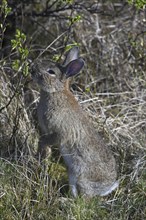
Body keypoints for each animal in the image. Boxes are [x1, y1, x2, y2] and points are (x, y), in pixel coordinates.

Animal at [31, 46, 118, 198]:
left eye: (51, 72)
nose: (32, 69)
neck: (56, 92)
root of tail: (108, 187)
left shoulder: (60, 132)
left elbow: (50, 139)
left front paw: (41, 150)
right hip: (72, 174)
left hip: (82, 176)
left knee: (83, 199)